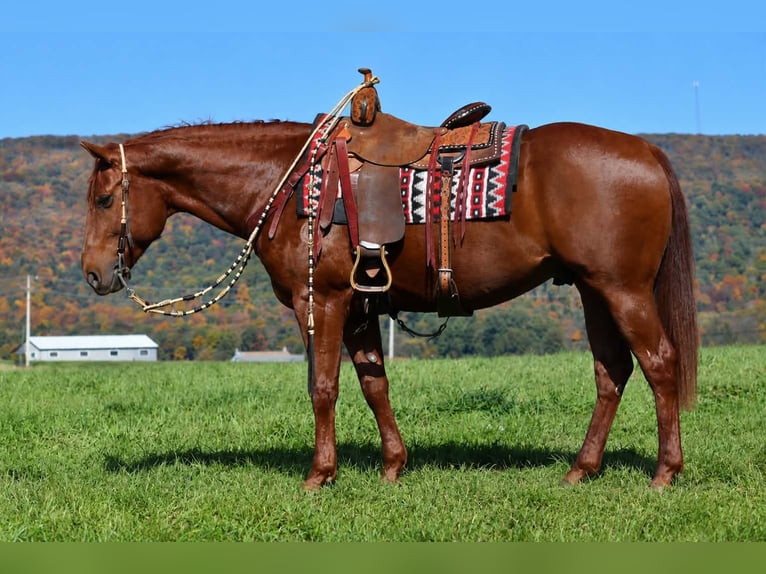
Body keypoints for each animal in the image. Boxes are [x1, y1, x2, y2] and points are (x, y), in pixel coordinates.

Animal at [79, 110, 698, 490]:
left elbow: (323, 387)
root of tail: (646, 150)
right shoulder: (360, 308)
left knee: (659, 363)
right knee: (612, 372)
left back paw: (665, 472)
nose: (92, 274)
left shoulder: (322, 302)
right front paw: (393, 467)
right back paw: (581, 469)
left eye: (105, 199)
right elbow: (374, 384)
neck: (288, 183)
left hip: (622, 290)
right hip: (594, 291)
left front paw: (319, 474)